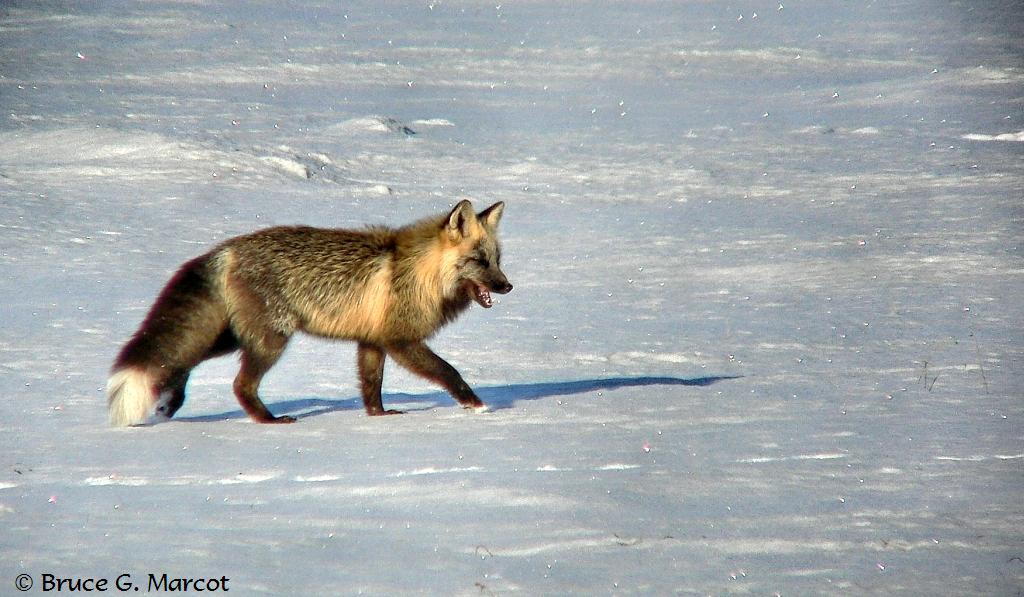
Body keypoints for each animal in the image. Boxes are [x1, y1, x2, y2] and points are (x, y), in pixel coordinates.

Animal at [108, 202, 512, 428]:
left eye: (497, 260)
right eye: (479, 261)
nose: (508, 287)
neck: (419, 274)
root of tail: (227, 248)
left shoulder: (372, 341)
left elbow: (371, 386)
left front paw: (378, 418)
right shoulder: (400, 341)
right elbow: (449, 371)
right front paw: (476, 405)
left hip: (233, 336)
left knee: (179, 361)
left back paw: (170, 402)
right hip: (270, 340)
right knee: (239, 384)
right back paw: (268, 421)